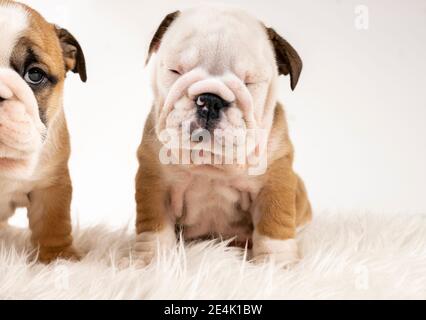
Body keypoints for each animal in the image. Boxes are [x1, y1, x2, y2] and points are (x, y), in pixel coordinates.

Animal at [135, 5, 312, 268]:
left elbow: (275, 222)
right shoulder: (155, 182)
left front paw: (276, 263)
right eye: (175, 70)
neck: (211, 163)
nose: (210, 100)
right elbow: (153, 226)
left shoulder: (274, 180)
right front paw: (151, 260)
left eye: (249, 82)